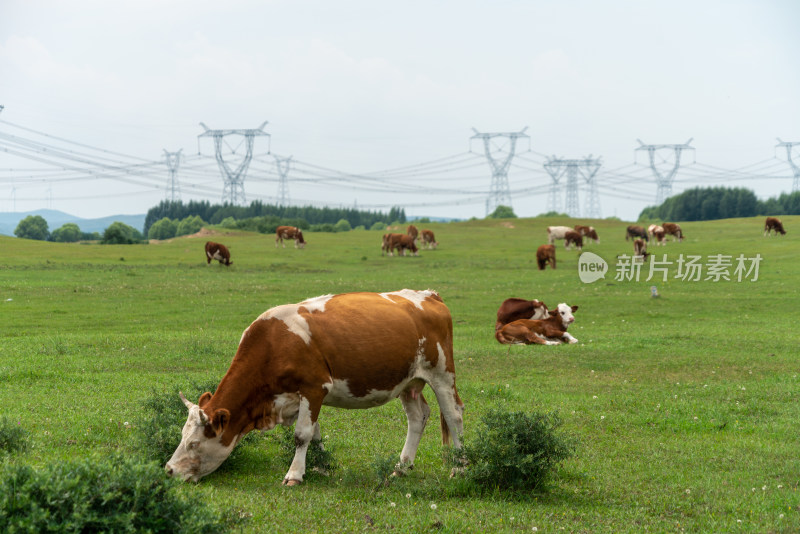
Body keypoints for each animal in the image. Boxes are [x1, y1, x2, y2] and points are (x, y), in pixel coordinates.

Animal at [164, 292, 462, 488]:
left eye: (194, 443)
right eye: (181, 436)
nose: (168, 470)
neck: (274, 342)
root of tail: (428, 295)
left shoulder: (314, 387)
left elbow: (302, 435)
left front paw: (294, 475)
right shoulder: (297, 398)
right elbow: (316, 434)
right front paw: (319, 468)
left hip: (442, 374)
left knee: (454, 415)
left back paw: (459, 467)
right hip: (408, 382)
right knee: (418, 417)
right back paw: (402, 467)